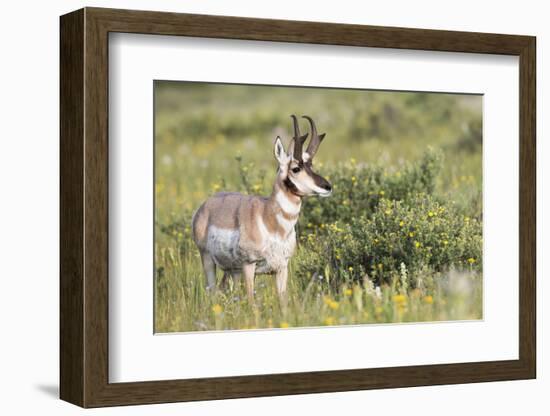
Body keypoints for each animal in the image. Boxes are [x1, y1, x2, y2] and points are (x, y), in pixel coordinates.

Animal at [192, 115, 334, 304]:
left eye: (311, 165)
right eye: (296, 168)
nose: (327, 187)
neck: (270, 220)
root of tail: (205, 205)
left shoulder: (282, 268)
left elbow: (283, 301)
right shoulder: (249, 265)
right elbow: (252, 302)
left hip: (232, 271)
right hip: (208, 260)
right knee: (213, 291)